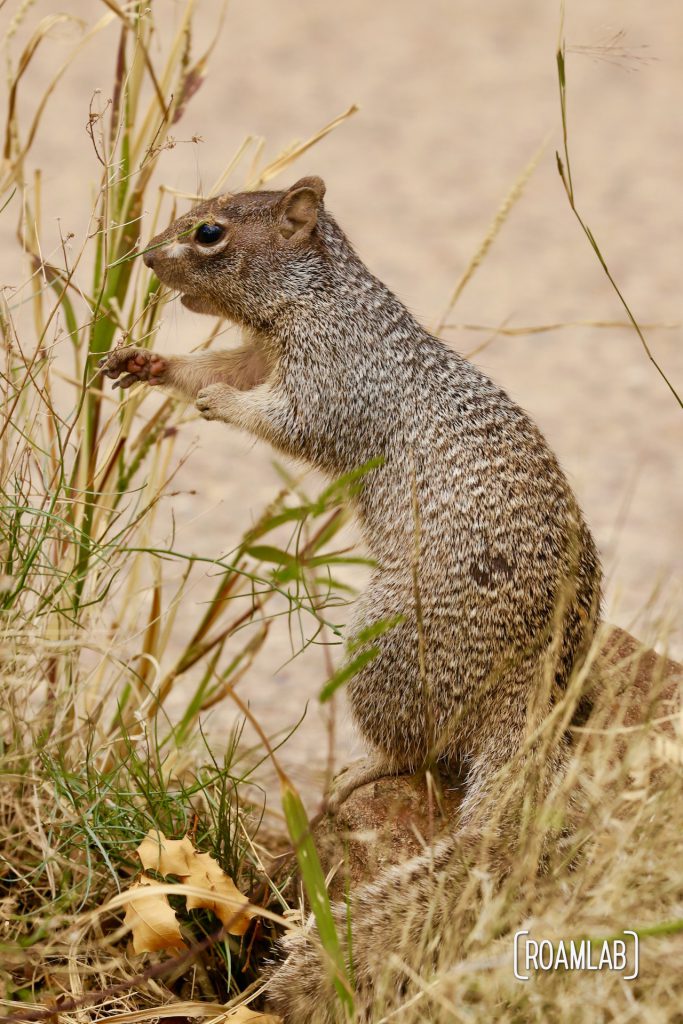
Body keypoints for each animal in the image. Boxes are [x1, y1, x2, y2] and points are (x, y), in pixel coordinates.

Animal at [100, 176, 602, 1015]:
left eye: (209, 232)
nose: (142, 255)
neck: (314, 300)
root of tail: (534, 692)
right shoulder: (258, 351)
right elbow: (214, 366)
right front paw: (148, 362)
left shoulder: (331, 377)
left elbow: (284, 418)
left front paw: (220, 407)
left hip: (382, 638)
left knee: (417, 752)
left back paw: (357, 771)